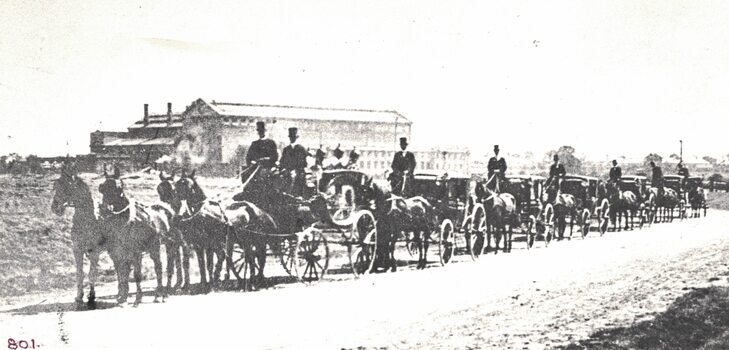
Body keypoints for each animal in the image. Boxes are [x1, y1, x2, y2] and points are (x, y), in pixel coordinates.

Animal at [49, 164, 103, 308]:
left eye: (66, 186)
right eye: (55, 185)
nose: (54, 208)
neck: (87, 220)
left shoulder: (95, 251)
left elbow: (92, 274)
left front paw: (91, 296)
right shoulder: (77, 249)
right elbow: (79, 273)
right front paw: (79, 296)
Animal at [96, 167, 172, 306]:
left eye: (119, 187)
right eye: (102, 187)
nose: (105, 209)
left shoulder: (136, 252)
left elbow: (136, 274)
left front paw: (137, 298)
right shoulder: (118, 253)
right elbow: (122, 273)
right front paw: (122, 297)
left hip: (158, 247)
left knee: (159, 267)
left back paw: (160, 294)